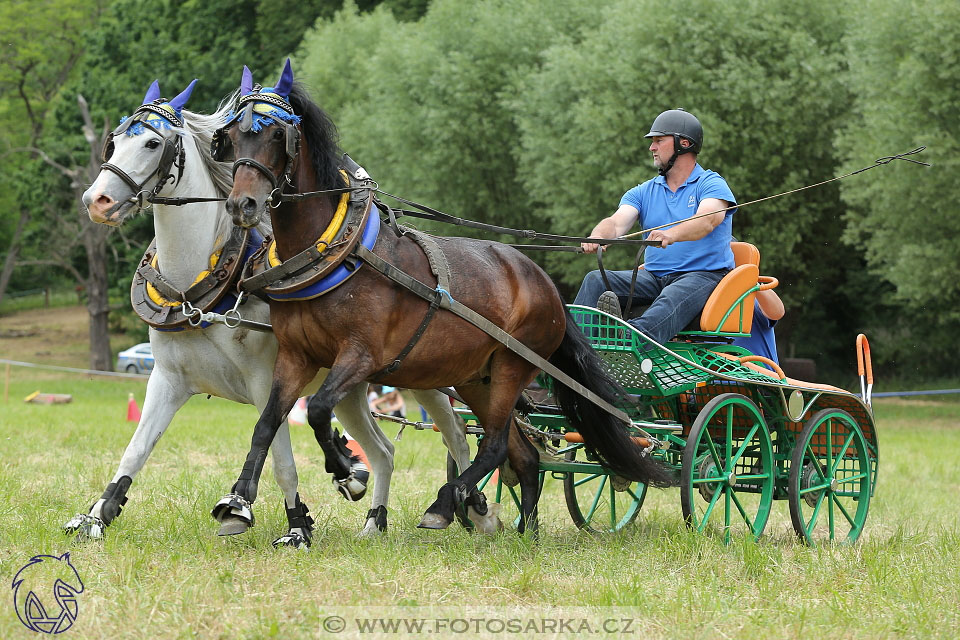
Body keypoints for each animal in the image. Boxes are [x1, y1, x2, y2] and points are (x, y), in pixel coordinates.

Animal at [218, 63, 676, 536]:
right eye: (230, 136)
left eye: (276, 134)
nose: (242, 205)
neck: (336, 254)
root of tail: (547, 286)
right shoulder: (296, 356)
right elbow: (267, 422)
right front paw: (238, 499)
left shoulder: (361, 356)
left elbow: (319, 410)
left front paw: (347, 471)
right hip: (479, 379)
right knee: (525, 456)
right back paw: (525, 532)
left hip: (512, 367)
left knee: (494, 447)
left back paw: (445, 503)